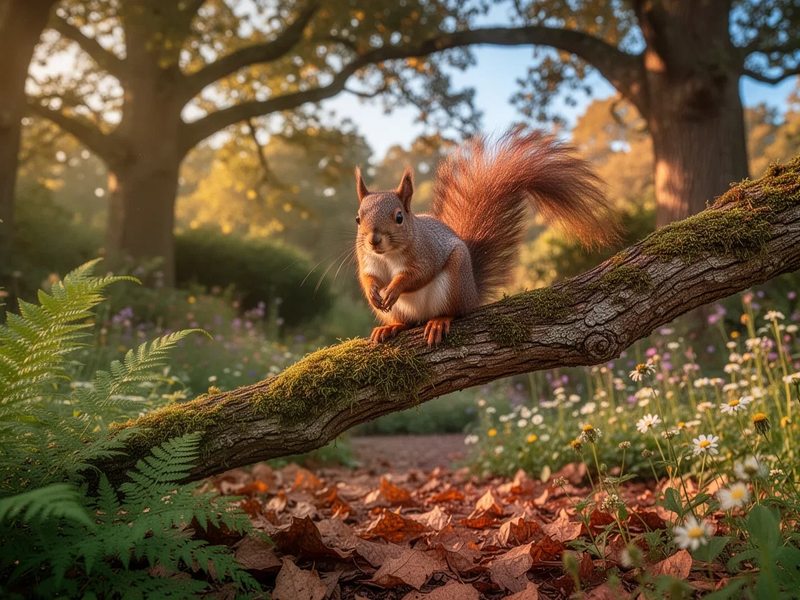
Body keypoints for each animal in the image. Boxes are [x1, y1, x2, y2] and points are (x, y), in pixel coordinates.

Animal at [354, 126, 617, 347]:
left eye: (399, 217)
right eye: (358, 218)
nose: (373, 240)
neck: (388, 255)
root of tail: (472, 291)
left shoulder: (426, 252)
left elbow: (418, 275)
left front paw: (394, 288)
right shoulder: (368, 260)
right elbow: (369, 277)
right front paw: (374, 292)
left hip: (456, 283)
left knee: (456, 312)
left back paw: (440, 321)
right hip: (401, 310)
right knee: (406, 322)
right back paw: (391, 327)